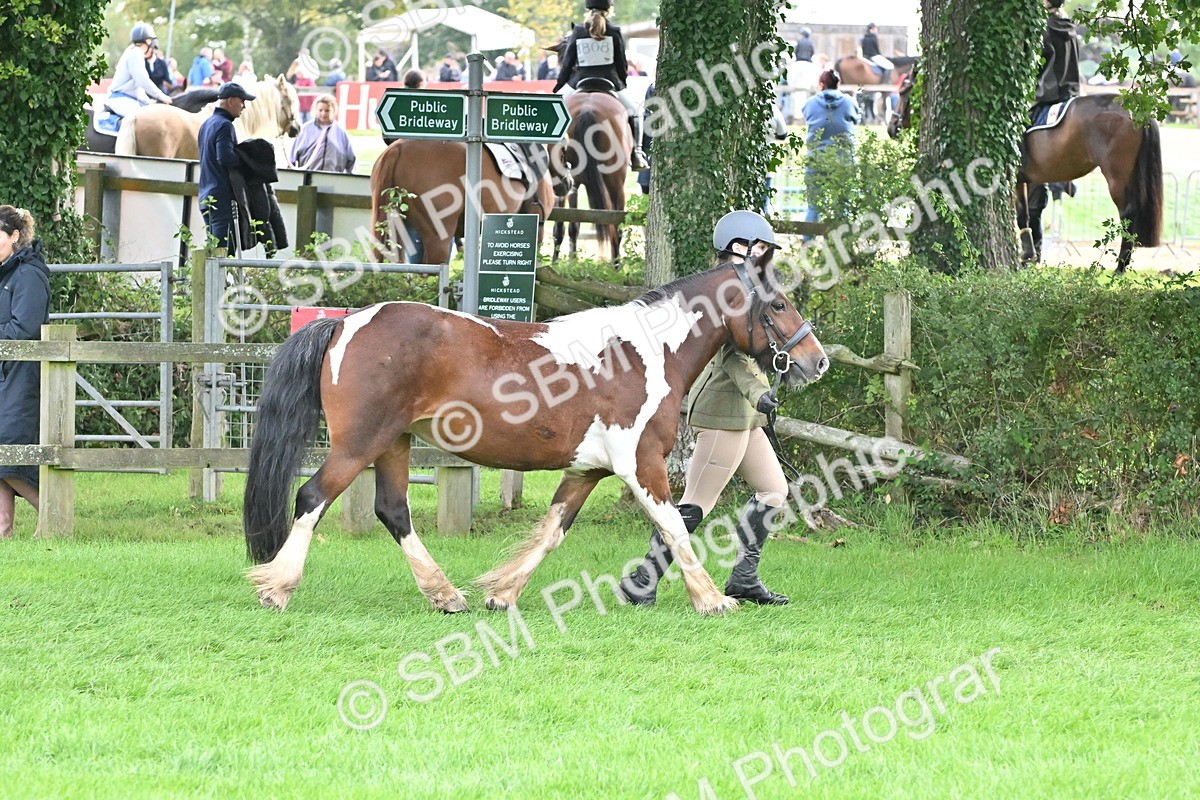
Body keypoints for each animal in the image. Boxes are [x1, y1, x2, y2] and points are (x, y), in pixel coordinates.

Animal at [242, 256, 830, 616]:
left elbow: (552, 531)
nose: (816, 360)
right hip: (359, 444)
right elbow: (674, 527)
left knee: (393, 511)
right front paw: (712, 600)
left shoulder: (587, 470)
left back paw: (445, 594)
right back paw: (278, 588)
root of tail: (344, 323)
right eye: (778, 304)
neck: (646, 352)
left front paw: (502, 594)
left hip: (393, 444)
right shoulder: (641, 464)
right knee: (312, 497)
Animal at [550, 84, 632, 264]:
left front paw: (570, 261)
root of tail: (586, 109)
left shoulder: (571, 184)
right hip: (615, 182)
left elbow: (572, 222)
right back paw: (616, 264)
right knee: (616, 223)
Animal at [1017, 94, 1162, 270]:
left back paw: (1120, 267)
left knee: (1128, 212)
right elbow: (1025, 213)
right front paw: (1028, 256)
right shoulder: (1023, 180)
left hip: (1117, 177)